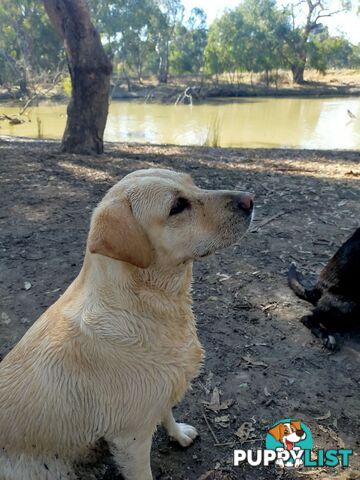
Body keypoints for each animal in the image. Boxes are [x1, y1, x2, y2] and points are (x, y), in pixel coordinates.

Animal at [0, 170, 253, 480]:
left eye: (192, 183)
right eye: (177, 206)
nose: (250, 200)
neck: (147, 303)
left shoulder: (161, 391)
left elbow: (167, 412)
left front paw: (178, 433)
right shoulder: (131, 438)